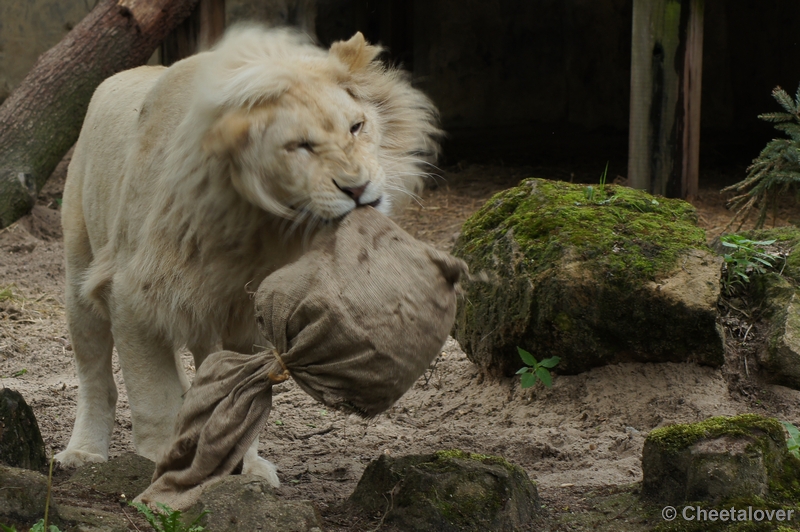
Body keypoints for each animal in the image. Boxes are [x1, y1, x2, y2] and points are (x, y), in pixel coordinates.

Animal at [57, 26, 440, 486]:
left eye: (357, 126)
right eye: (300, 146)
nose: (357, 187)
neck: (261, 228)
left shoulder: (254, 311)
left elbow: (246, 391)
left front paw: (246, 468)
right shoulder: (130, 292)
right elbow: (154, 395)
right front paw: (162, 461)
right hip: (80, 270)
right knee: (96, 374)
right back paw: (83, 452)